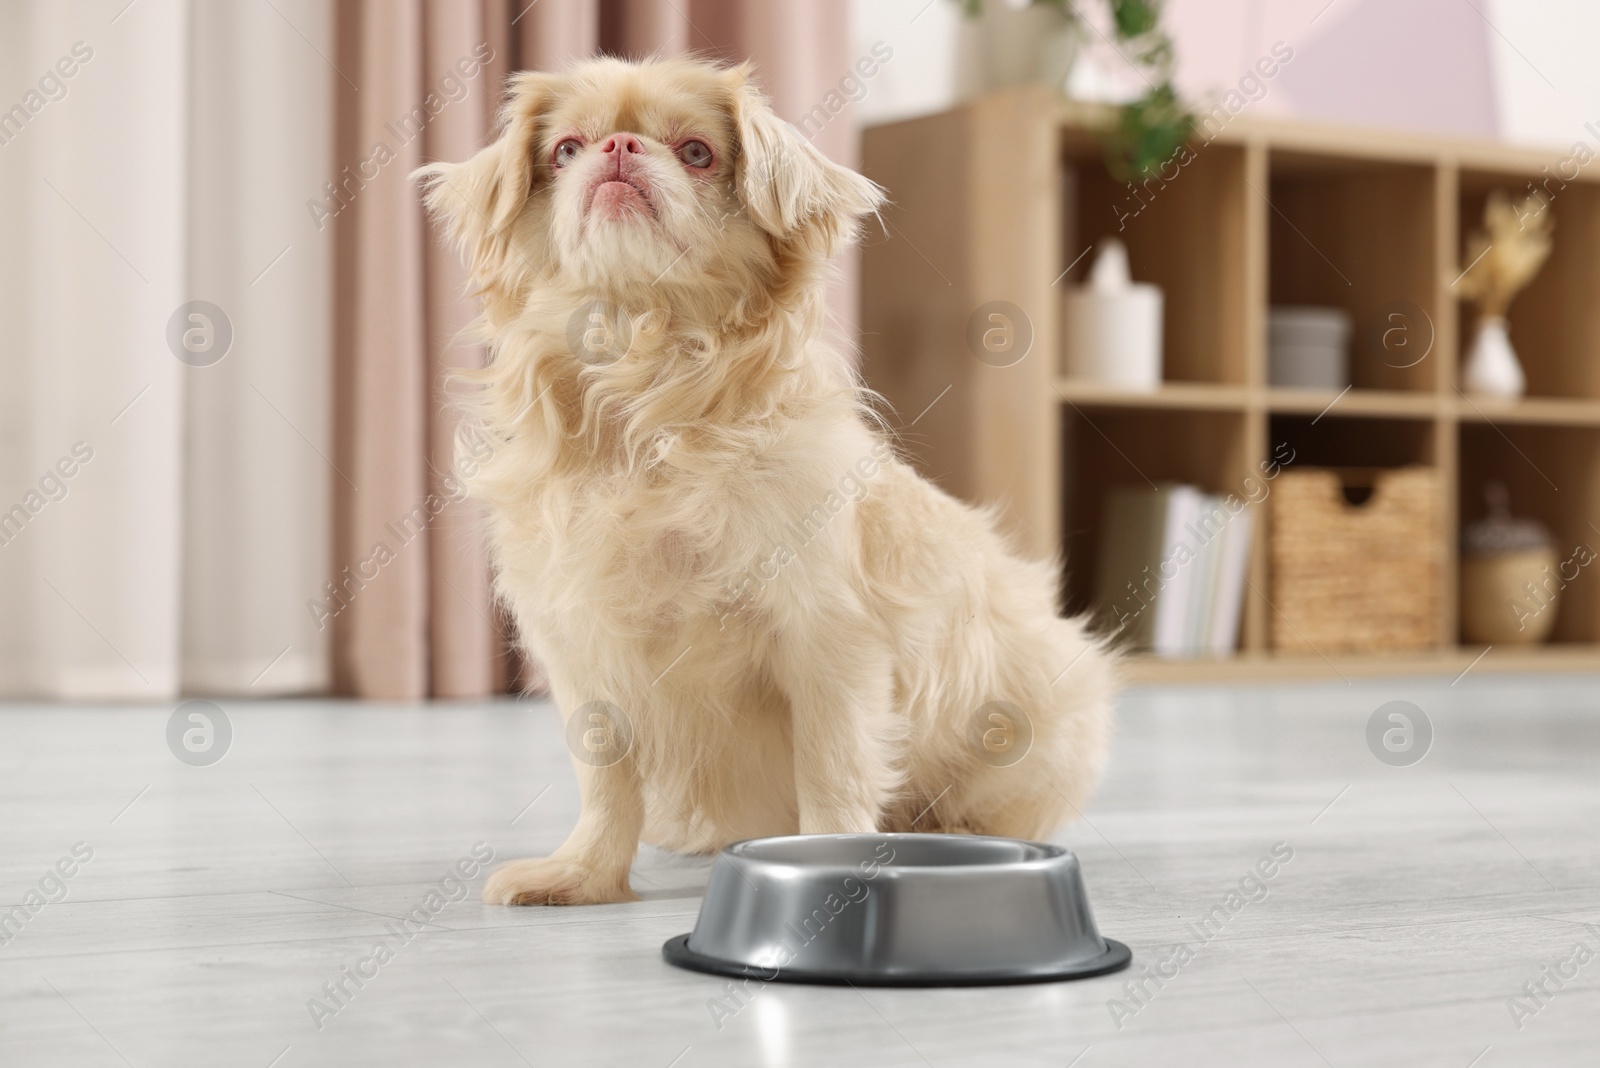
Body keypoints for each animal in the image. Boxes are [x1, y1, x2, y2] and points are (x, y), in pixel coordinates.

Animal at [416, 58, 1113, 908]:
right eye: (565, 150)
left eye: (696, 153)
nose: (617, 147)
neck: (642, 392)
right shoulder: (588, 655)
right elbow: (606, 782)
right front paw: (582, 875)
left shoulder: (830, 649)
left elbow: (832, 775)